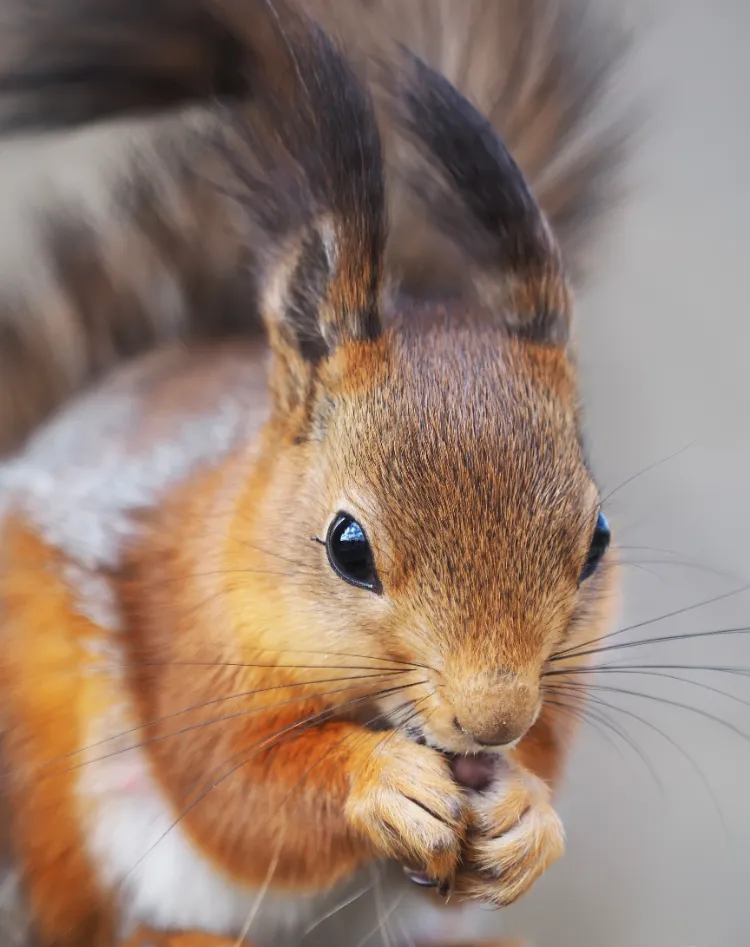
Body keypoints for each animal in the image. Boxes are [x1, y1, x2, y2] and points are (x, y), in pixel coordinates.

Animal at [0, 1, 624, 947]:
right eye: (348, 547)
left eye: (596, 539)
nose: (494, 720)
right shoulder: (184, 631)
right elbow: (243, 795)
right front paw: (381, 779)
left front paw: (526, 813)